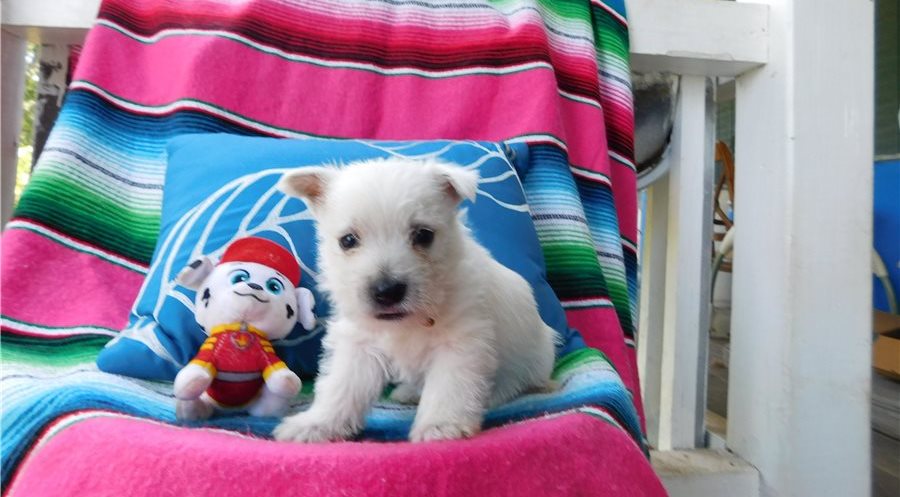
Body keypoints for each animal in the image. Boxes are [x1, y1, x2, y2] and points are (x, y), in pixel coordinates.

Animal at [274, 157, 556, 440]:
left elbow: (448, 388)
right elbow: (341, 387)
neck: (409, 321)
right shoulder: (359, 345)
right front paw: (315, 424)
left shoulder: (461, 344)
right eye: (348, 240)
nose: (387, 290)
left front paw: (440, 426)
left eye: (423, 235)